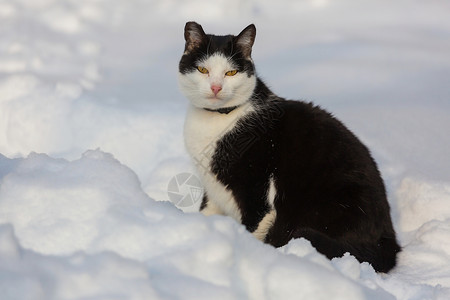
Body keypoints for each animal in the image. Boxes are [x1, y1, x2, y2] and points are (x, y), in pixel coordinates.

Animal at [178, 21, 400, 274]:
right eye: (203, 70)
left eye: (231, 72)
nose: (215, 87)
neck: (216, 121)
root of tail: (389, 238)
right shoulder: (212, 188)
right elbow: (206, 212)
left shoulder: (257, 194)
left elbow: (253, 231)